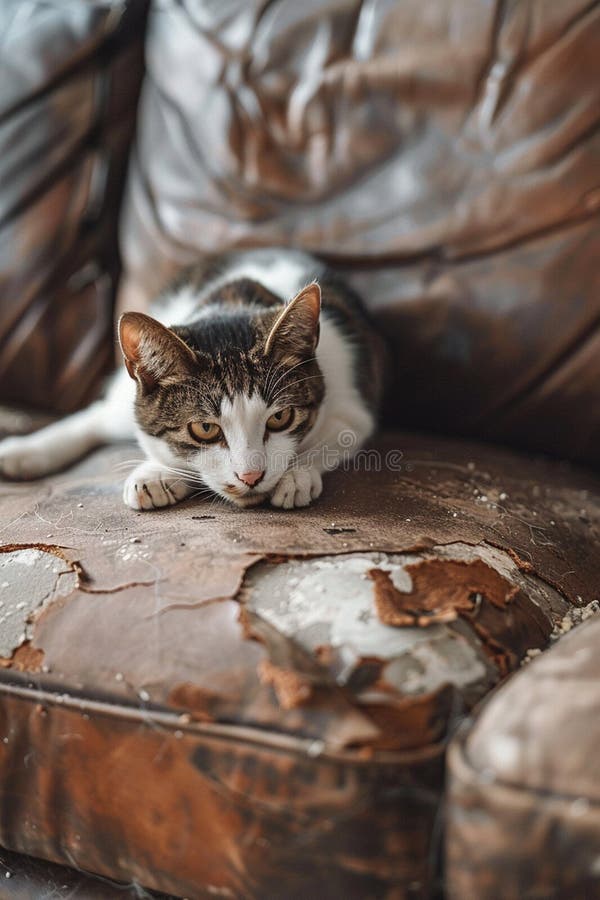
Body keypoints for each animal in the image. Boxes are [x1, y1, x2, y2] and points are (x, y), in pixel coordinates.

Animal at [0, 250, 384, 510]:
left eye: (280, 418)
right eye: (205, 429)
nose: (251, 477)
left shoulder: (351, 406)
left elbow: (333, 438)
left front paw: (296, 475)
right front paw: (156, 473)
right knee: (99, 415)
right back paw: (23, 452)